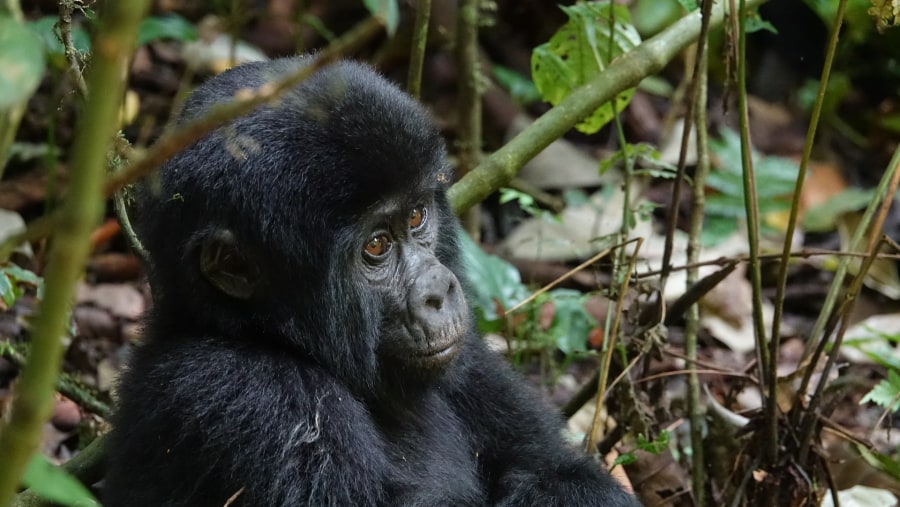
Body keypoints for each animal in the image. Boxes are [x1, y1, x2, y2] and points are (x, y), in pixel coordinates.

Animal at [103, 56, 640, 507]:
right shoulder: (247, 396)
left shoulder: (466, 357)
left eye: (417, 215)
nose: (439, 292)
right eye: (376, 246)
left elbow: (561, 473)